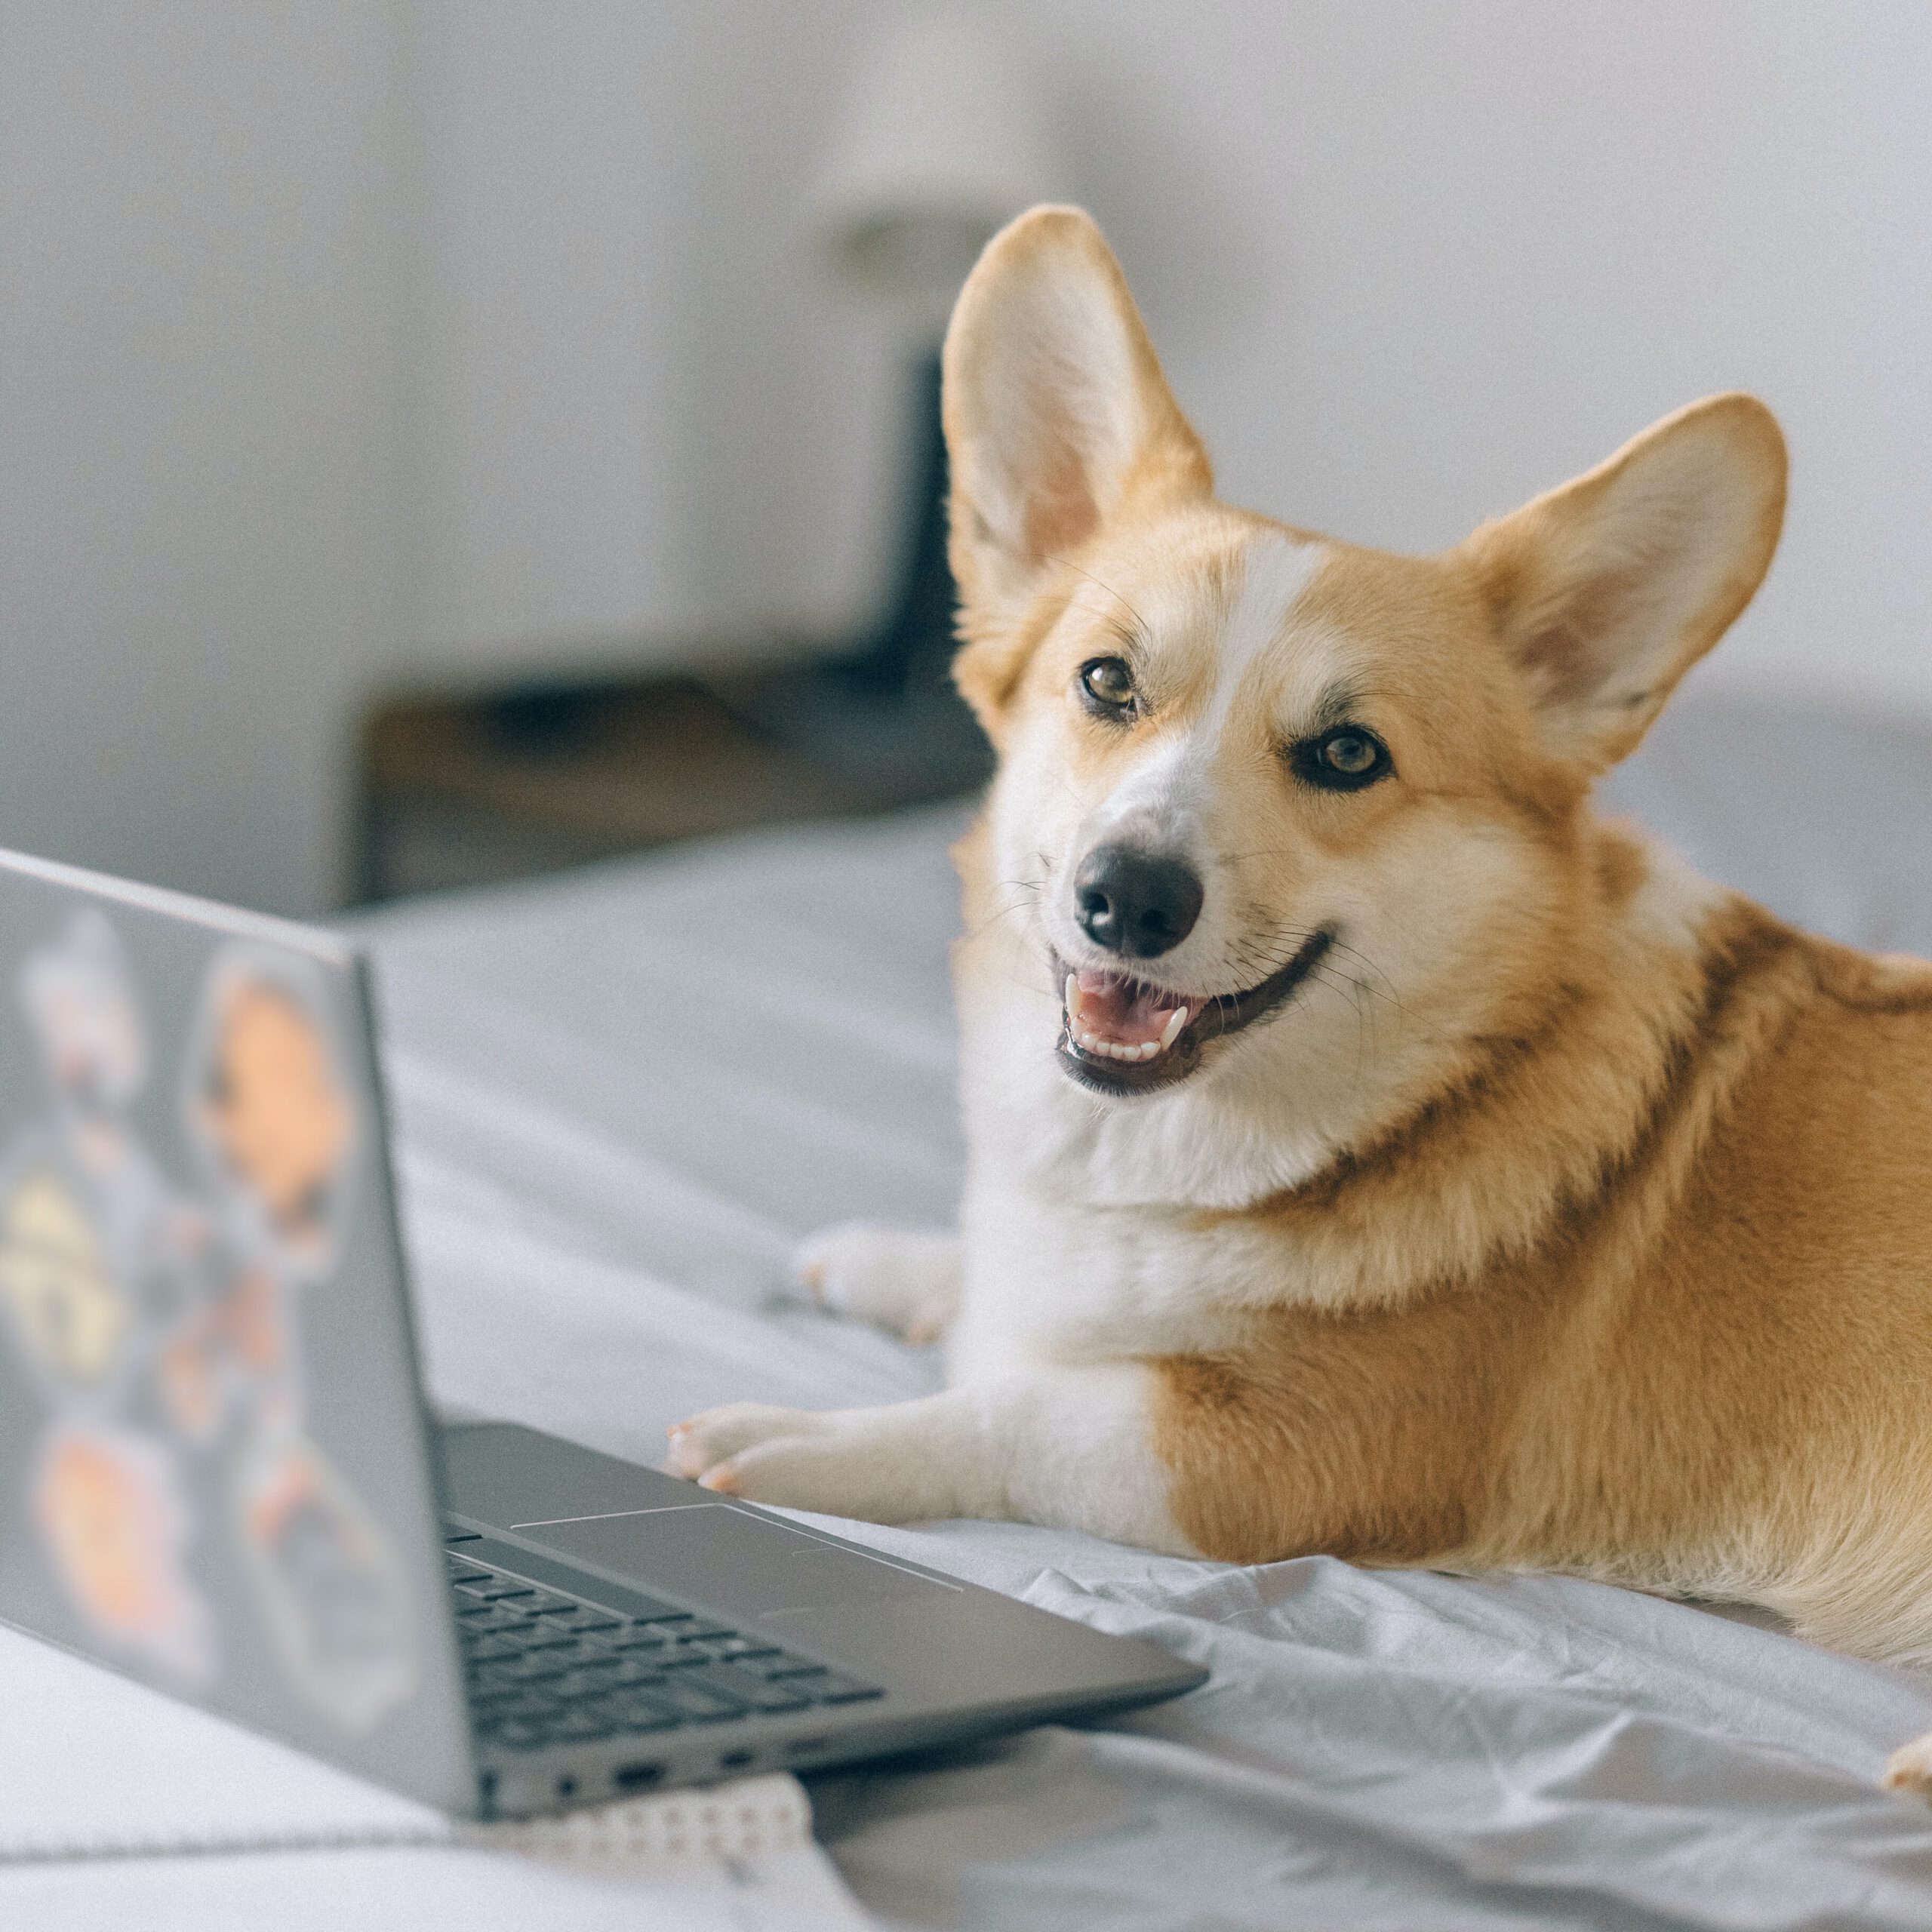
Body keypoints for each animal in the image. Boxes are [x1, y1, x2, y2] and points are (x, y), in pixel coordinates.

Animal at [668, 211, 1932, 1792]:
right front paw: (892, 1263)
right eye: (1107, 684)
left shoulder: (1273, 1456)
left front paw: (793, 1436)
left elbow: (1012, 1403)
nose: (1128, 897)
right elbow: (997, 1292)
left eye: (1345, 755)